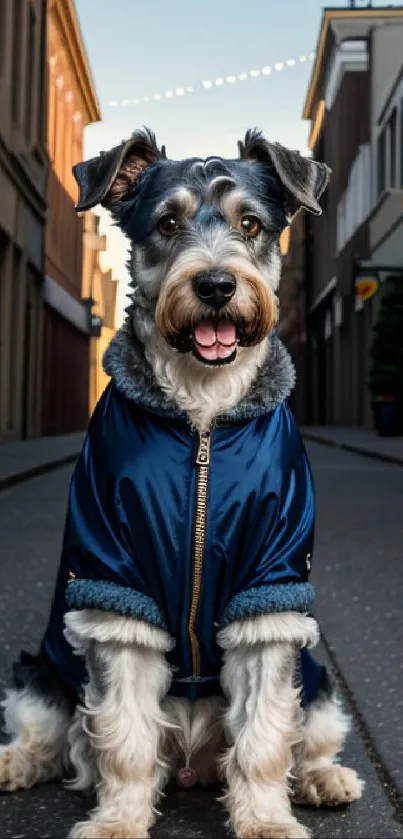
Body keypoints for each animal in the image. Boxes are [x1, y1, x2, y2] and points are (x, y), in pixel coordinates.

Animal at [0, 128, 366, 836]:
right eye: (167, 223)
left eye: (250, 224)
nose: (217, 284)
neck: (203, 413)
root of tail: (194, 765)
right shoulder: (117, 592)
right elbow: (124, 738)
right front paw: (116, 821)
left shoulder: (269, 594)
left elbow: (265, 736)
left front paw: (267, 820)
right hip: (44, 670)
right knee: (52, 734)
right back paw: (16, 762)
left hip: (320, 683)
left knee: (306, 735)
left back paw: (322, 777)